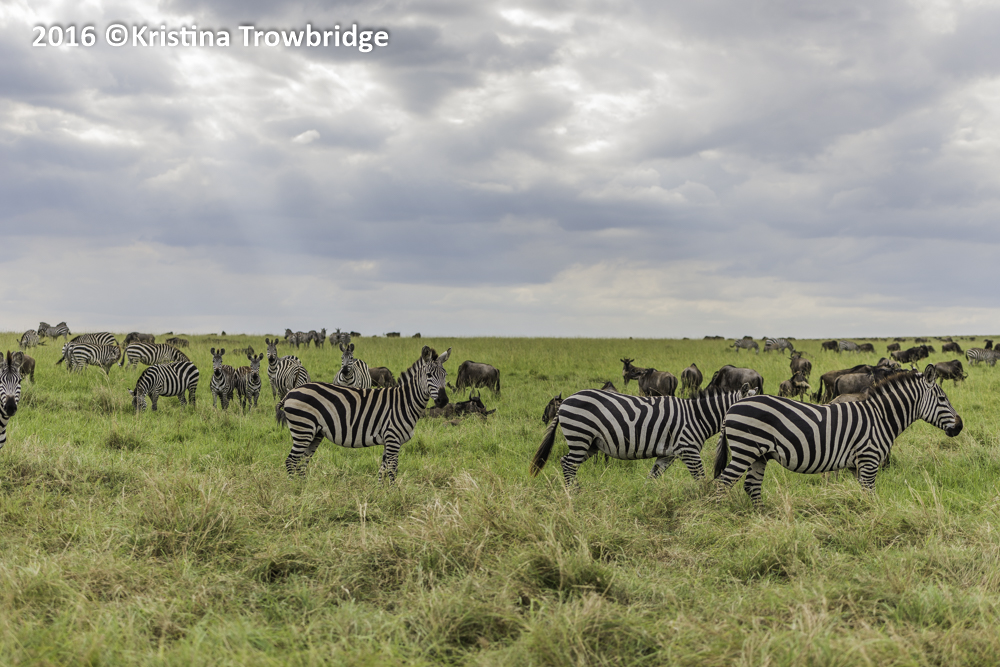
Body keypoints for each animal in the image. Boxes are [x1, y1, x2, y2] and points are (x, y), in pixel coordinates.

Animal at [277, 346, 451, 482]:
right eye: (429, 375)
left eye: (445, 375)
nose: (443, 400)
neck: (403, 402)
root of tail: (290, 392)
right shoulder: (393, 439)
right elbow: (392, 469)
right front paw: (394, 494)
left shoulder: (388, 441)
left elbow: (382, 469)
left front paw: (382, 494)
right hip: (303, 429)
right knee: (291, 461)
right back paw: (295, 490)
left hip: (314, 433)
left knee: (302, 462)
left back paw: (304, 487)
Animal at [530, 383, 757, 486]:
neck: (697, 416)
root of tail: (565, 401)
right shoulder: (689, 450)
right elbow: (700, 479)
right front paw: (704, 502)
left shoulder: (668, 454)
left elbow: (652, 477)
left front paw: (646, 498)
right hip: (580, 435)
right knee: (569, 463)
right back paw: (574, 494)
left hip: (591, 444)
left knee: (565, 461)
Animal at [713, 365, 963, 505]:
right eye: (943, 399)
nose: (959, 426)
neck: (880, 416)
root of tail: (732, 407)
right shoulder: (869, 460)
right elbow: (870, 494)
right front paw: (872, 523)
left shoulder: (856, 465)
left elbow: (863, 495)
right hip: (745, 450)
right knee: (722, 484)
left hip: (759, 455)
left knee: (751, 486)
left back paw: (763, 518)